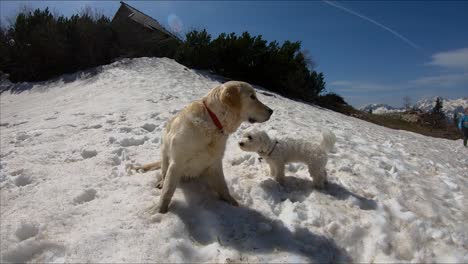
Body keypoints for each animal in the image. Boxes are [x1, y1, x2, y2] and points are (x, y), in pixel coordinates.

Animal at [130, 81, 272, 213]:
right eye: (252, 97)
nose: (272, 111)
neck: (213, 123)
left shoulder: (215, 163)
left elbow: (223, 187)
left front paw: (233, 204)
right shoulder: (176, 163)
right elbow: (167, 190)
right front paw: (160, 211)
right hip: (165, 152)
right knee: (164, 172)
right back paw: (161, 182)